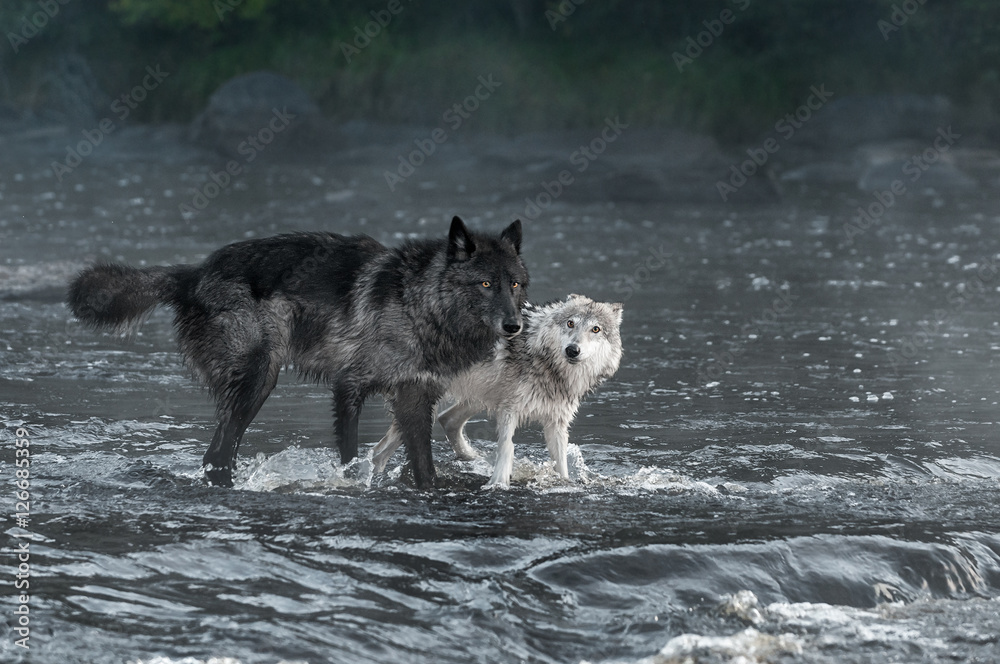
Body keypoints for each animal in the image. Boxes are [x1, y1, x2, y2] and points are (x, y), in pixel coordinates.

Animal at [67, 217, 528, 490]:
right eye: (486, 284)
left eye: (514, 284)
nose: (514, 325)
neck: (419, 304)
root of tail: (194, 273)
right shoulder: (348, 387)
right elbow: (350, 456)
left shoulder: (416, 399)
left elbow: (424, 467)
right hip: (258, 380)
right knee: (217, 455)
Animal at [371, 294, 623, 487]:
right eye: (570, 323)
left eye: (596, 329)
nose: (572, 350)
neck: (549, 367)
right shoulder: (510, 409)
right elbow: (507, 446)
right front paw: (498, 483)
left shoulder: (556, 423)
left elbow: (560, 463)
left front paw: (565, 483)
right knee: (378, 453)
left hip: (475, 399)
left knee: (447, 420)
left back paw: (472, 458)